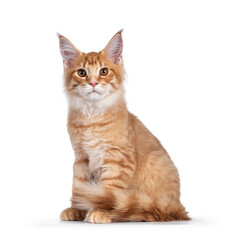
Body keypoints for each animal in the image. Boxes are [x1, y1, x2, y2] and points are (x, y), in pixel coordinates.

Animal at [57, 30, 189, 223]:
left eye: (103, 71)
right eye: (81, 73)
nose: (93, 83)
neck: (92, 116)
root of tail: (176, 207)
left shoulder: (117, 159)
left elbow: (108, 191)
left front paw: (100, 212)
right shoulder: (81, 158)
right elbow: (79, 186)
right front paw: (77, 209)